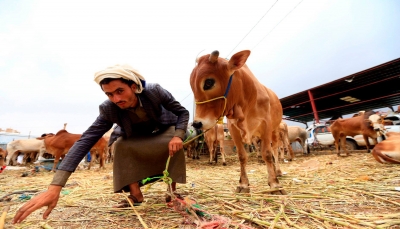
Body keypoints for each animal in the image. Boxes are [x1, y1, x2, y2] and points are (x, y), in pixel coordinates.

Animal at [191, 50, 284, 193]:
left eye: (209, 82)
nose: (196, 123)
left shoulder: (266, 126)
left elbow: (267, 154)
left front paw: (274, 184)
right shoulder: (233, 128)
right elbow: (242, 155)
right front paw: (243, 184)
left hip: (275, 130)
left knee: (275, 150)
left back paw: (278, 172)